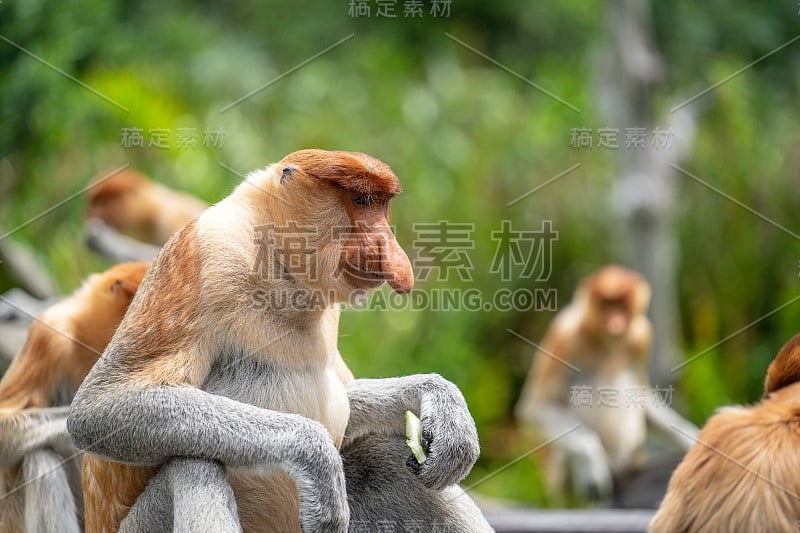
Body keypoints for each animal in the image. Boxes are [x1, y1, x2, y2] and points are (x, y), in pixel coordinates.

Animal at [67, 150, 488, 532]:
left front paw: (443, 405)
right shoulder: (205, 256)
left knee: (380, 452)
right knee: (194, 464)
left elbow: (346, 398)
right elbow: (99, 409)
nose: (389, 250)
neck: (279, 267)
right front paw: (316, 457)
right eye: (361, 201)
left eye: (382, 206)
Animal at [516, 266, 696, 502]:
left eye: (622, 305)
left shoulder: (642, 336)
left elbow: (642, 394)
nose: (615, 324)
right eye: (607, 305)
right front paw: (592, 463)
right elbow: (537, 407)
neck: (604, 341)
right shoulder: (564, 336)